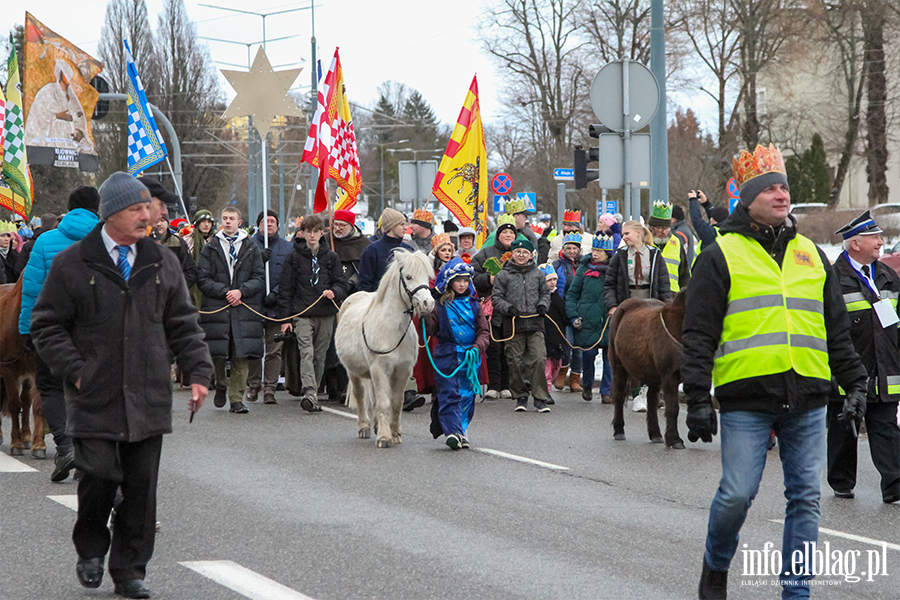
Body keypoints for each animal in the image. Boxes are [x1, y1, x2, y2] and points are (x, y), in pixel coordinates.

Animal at [338, 246, 436, 448]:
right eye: (408, 276)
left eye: (427, 276)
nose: (428, 304)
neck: (391, 329)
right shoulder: (379, 368)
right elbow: (384, 403)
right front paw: (384, 438)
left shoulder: (403, 371)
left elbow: (396, 402)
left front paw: (395, 434)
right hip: (354, 371)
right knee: (361, 396)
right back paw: (365, 428)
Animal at [608, 290, 684, 450]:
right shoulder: (669, 377)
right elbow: (673, 408)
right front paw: (675, 440)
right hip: (619, 367)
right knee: (619, 396)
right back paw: (619, 430)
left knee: (652, 400)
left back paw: (655, 434)